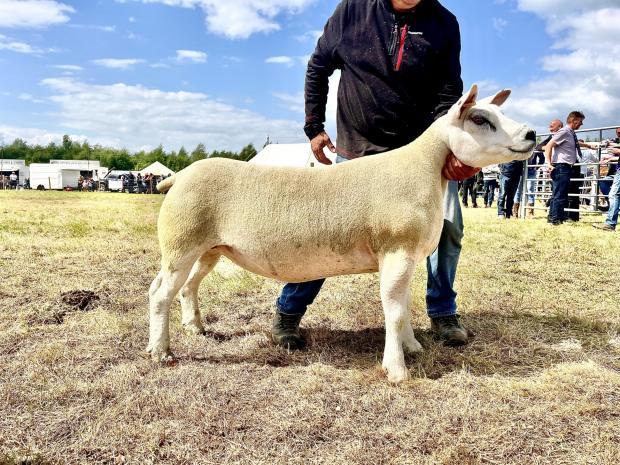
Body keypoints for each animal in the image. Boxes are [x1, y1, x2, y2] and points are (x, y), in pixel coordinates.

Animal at [148, 85, 536, 382]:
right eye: (480, 119)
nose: (531, 134)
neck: (422, 170)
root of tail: (178, 176)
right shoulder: (396, 250)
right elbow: (394, 312)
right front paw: (397, 370)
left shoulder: (408, 257)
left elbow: (405, 306)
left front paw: (412, 347)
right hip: (181, 243)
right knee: (160, 293)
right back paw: (160, 351)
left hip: (209, 247)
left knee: (186, 287)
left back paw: (195, 328)